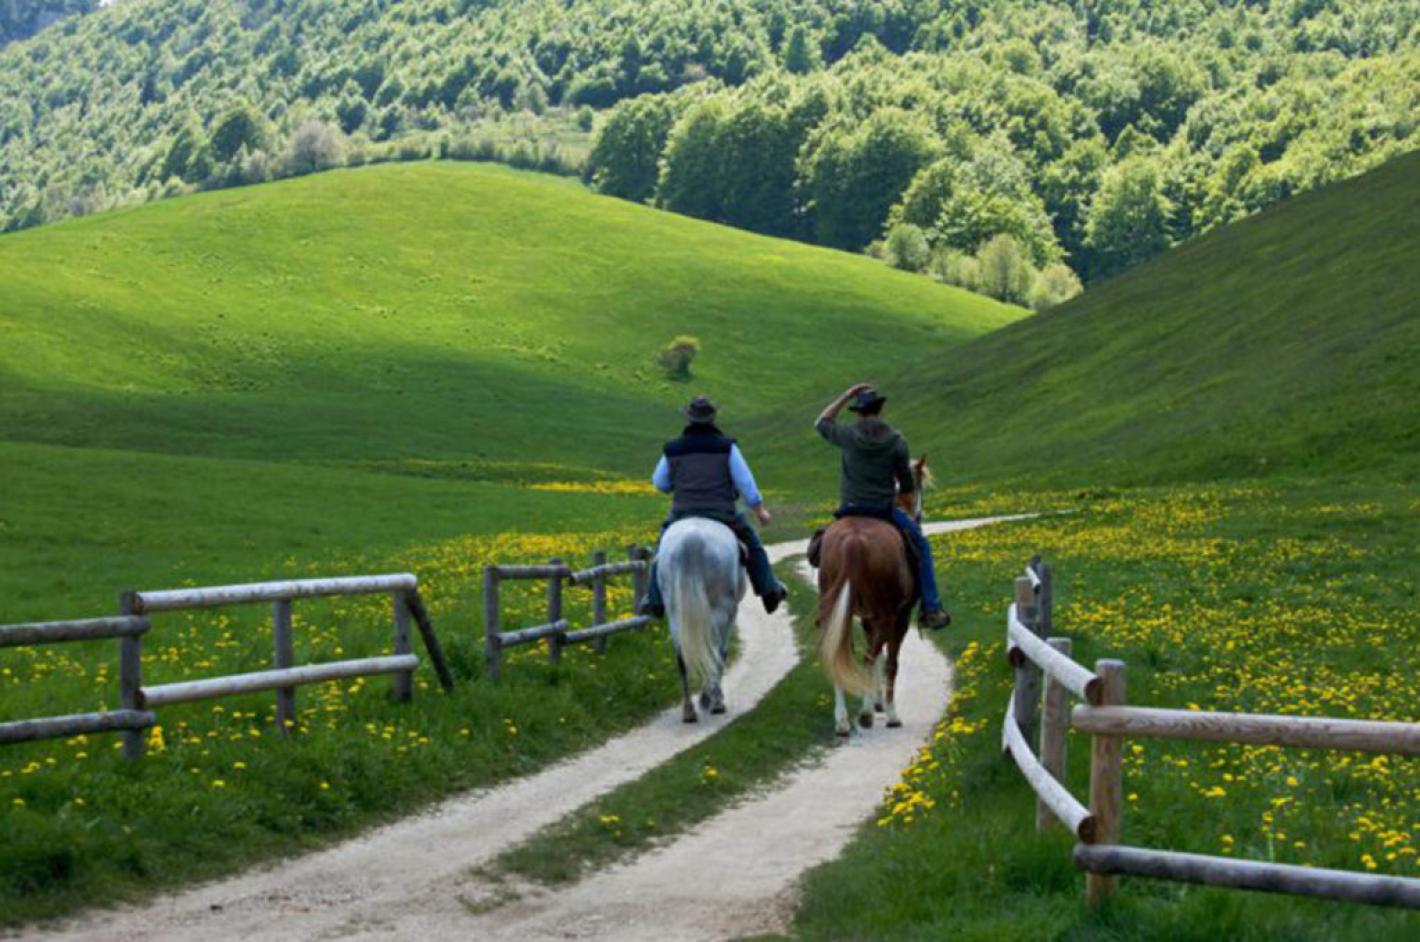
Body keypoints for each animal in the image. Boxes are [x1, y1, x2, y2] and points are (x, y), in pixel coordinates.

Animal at [653, 517, 744, 721]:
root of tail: (691, 540)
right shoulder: (731, 613)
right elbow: (720, 653)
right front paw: (709, 696)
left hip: (675, 615)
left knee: (682, 658)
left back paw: (689, 710)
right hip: (720, 611)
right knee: (714, 652)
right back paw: (715, 702)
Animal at [817, 457, 925, 738]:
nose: (918, 516)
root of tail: (852, 542)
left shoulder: (867, 618)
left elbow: (876, 655)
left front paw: (876, 701)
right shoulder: (900, 617)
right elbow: (890, 662)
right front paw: (888, 711)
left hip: (835, 612)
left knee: (839, 654)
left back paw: (842, 722)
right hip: (888, 616)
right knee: (869, 657)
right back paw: (866, 715)